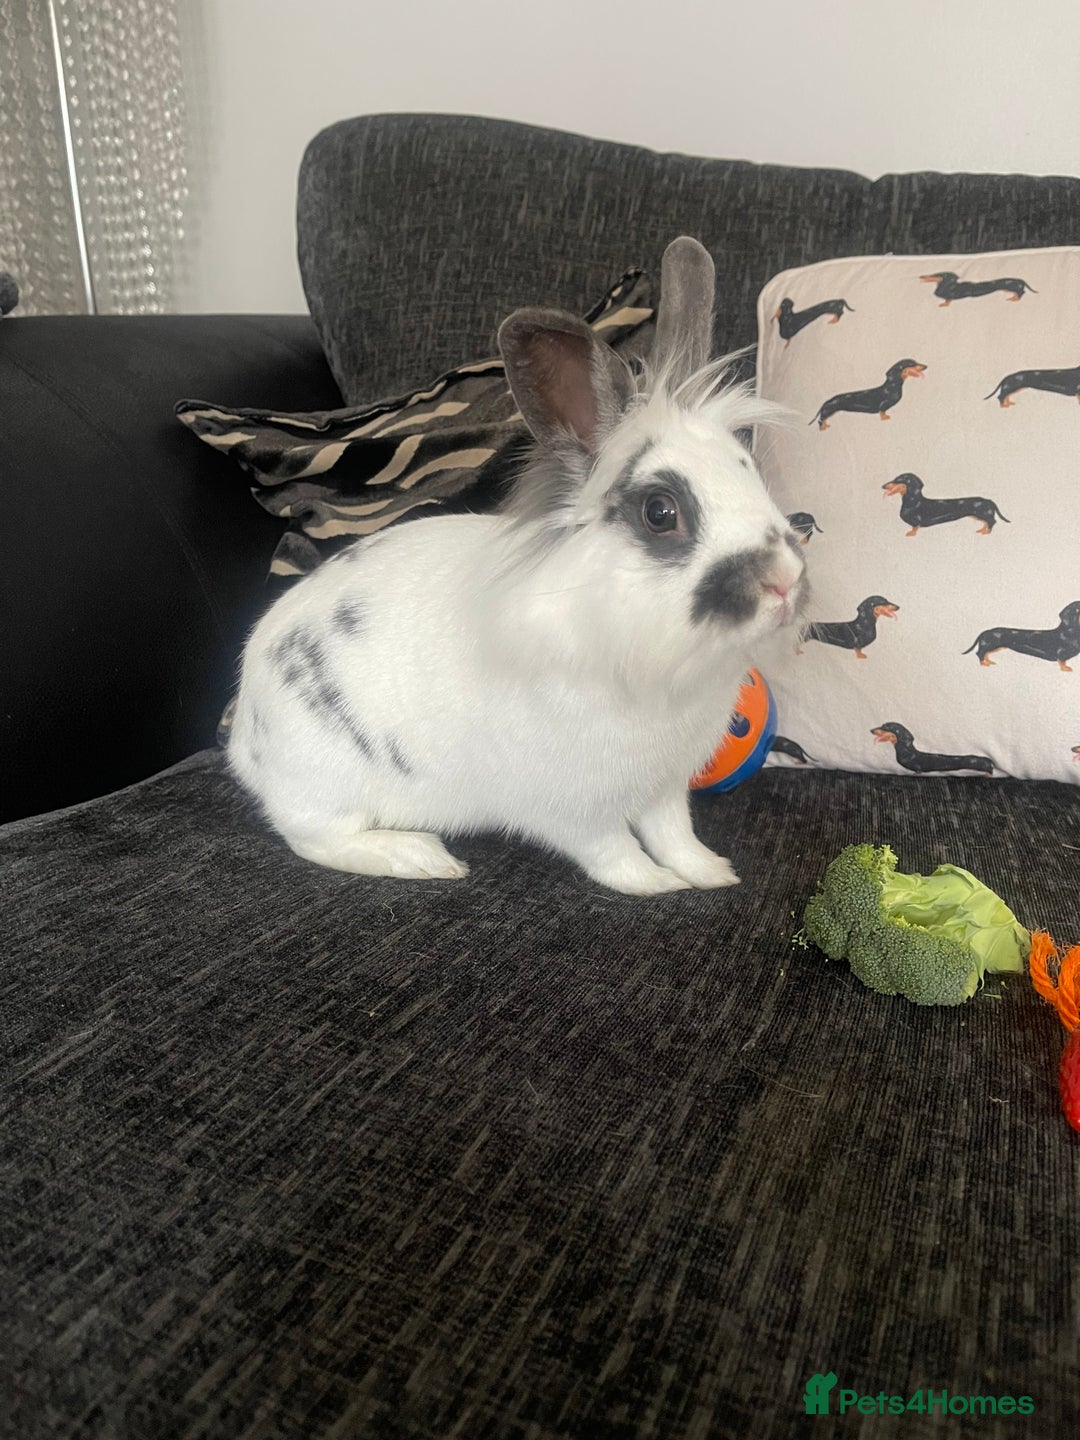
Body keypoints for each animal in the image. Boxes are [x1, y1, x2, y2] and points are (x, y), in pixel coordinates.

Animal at [227, 236, 809, 895]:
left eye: (749, 470)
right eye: (661, 513)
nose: (784, 580)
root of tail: (246, 734)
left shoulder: (664, 787)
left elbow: (673, 833)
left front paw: (710, 873)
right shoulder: (575, 807)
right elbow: (613, 851)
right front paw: (655, 885)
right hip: (326, 785)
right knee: (313, 837)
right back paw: (420, 856)